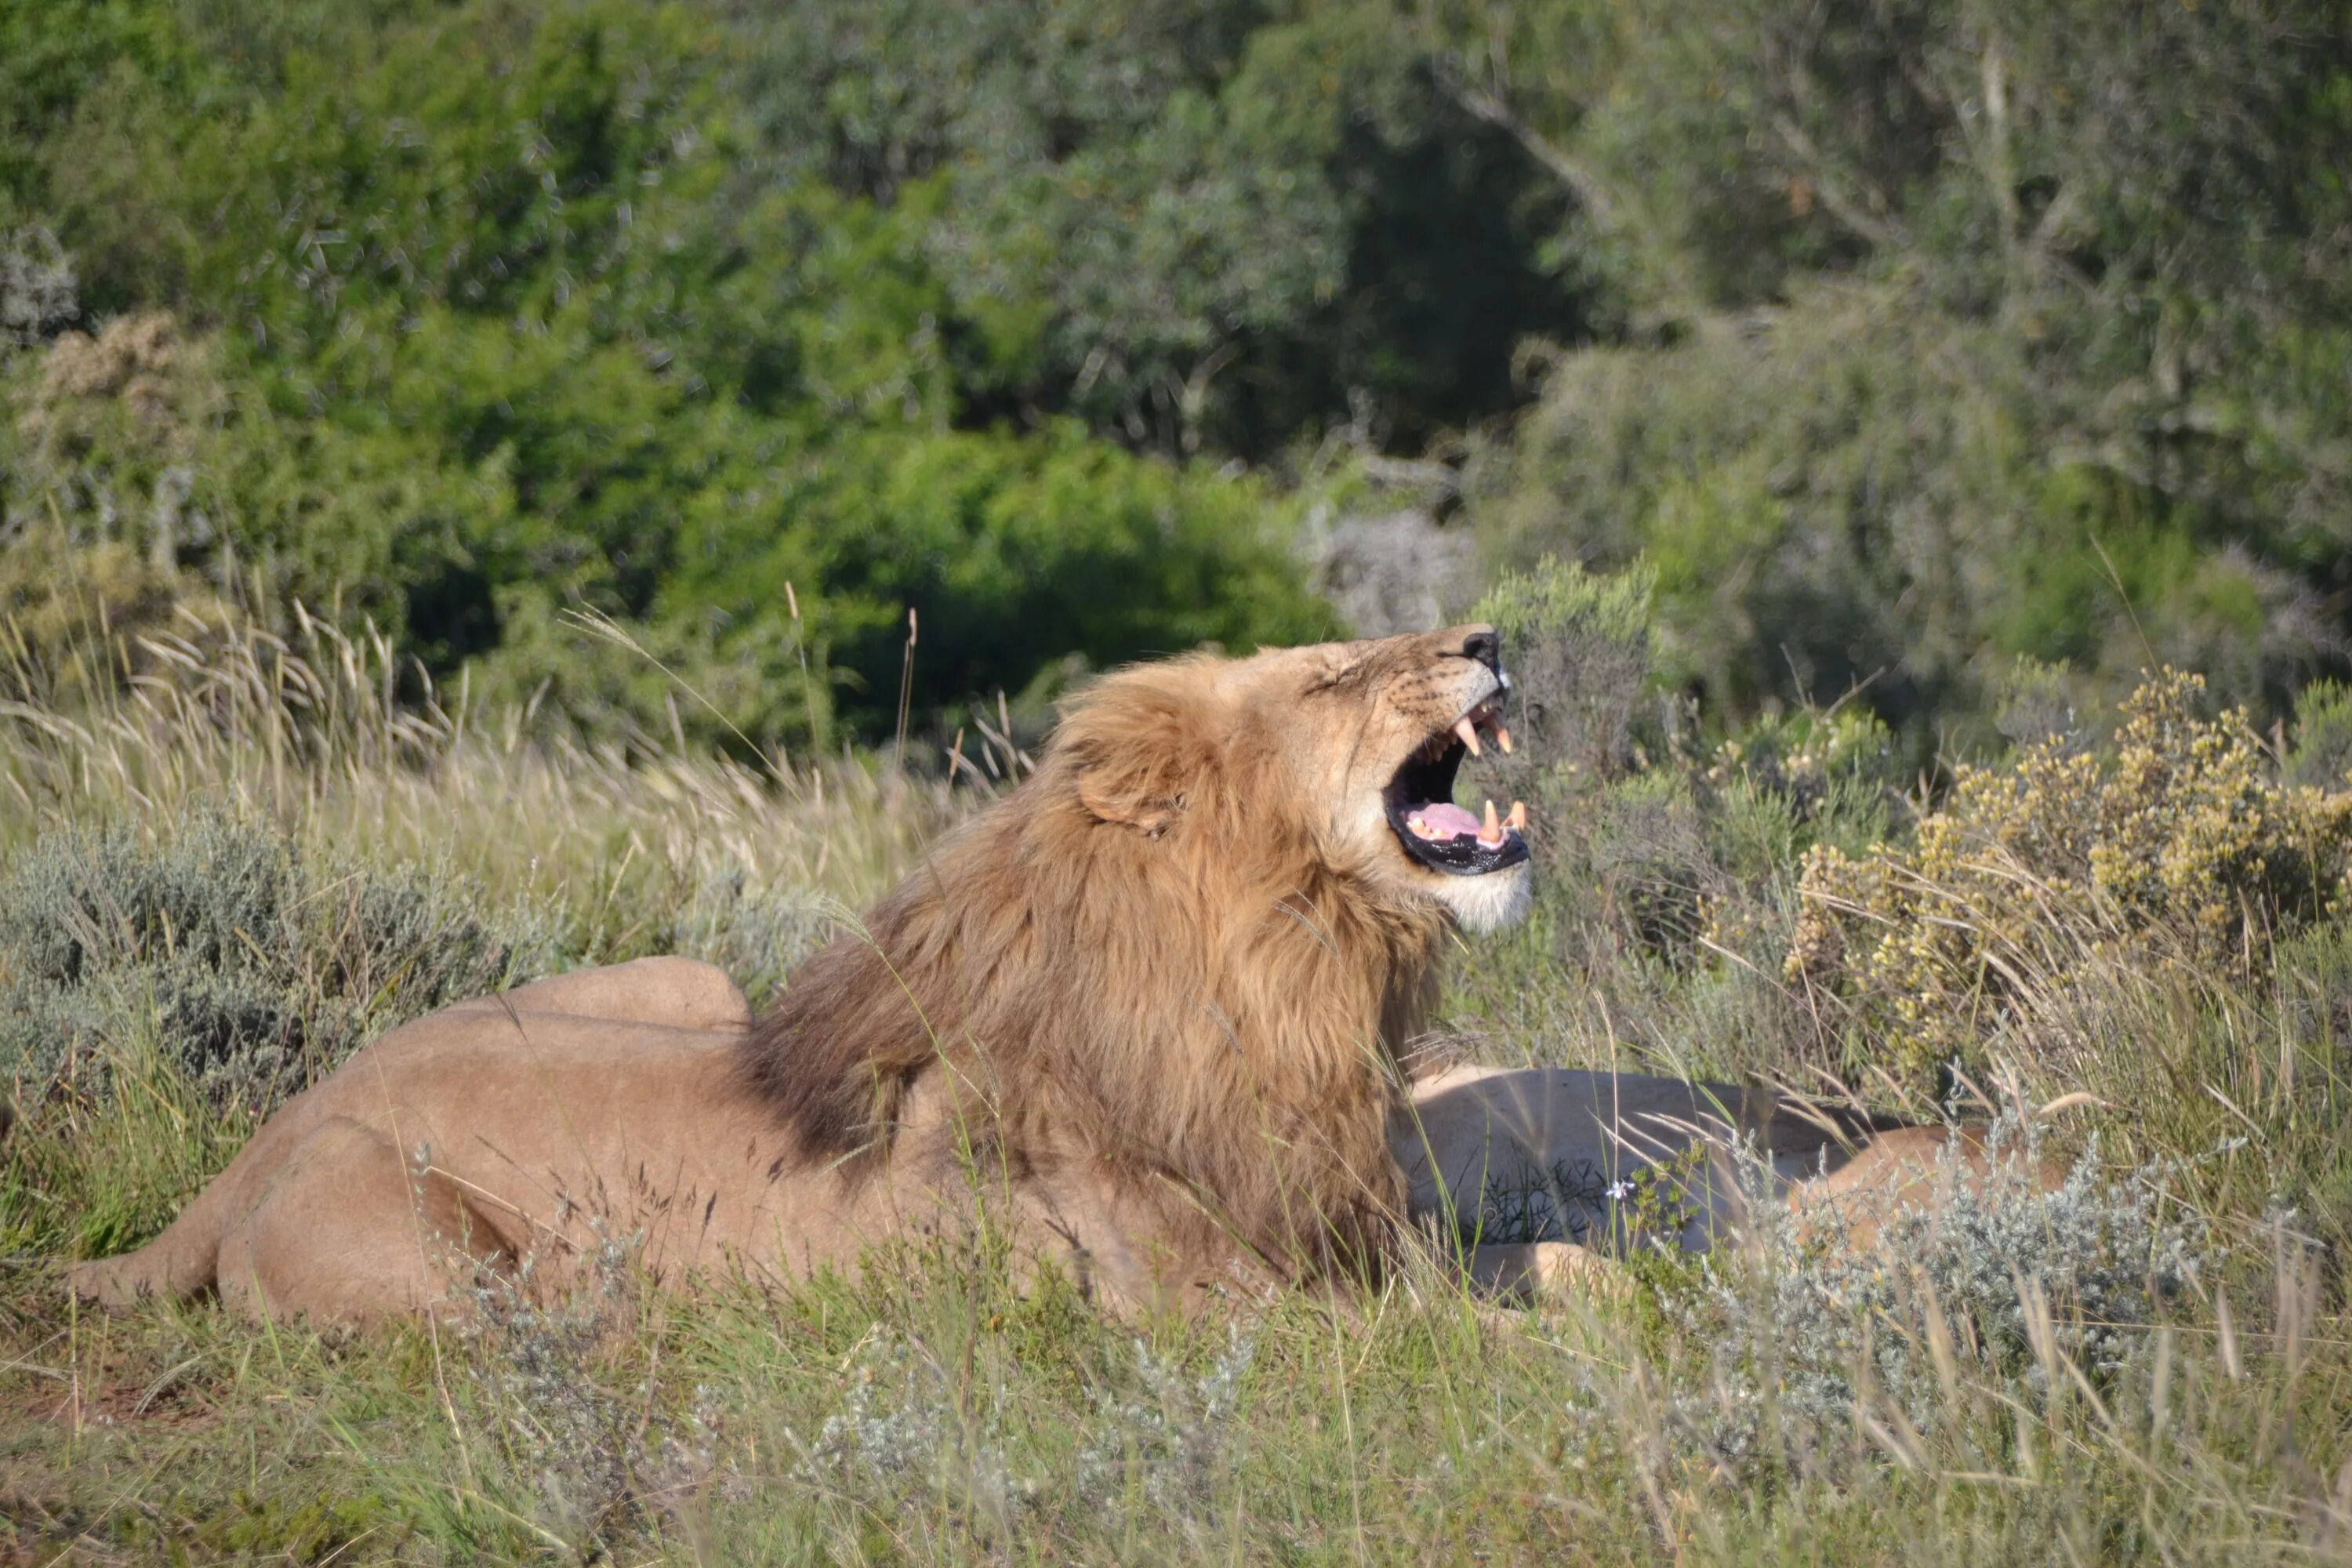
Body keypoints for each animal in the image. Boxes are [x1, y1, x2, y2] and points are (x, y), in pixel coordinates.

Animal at [68, 625, 2023, 1326]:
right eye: (1337, 671)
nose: (1485, 634)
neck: (1292, 976)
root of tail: (254, 1142)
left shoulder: (1364, 1222)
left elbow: (1555, 1264)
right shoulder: (1212, 1308)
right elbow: (1473, 1334)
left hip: (693, 977)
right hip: (451, 1268)